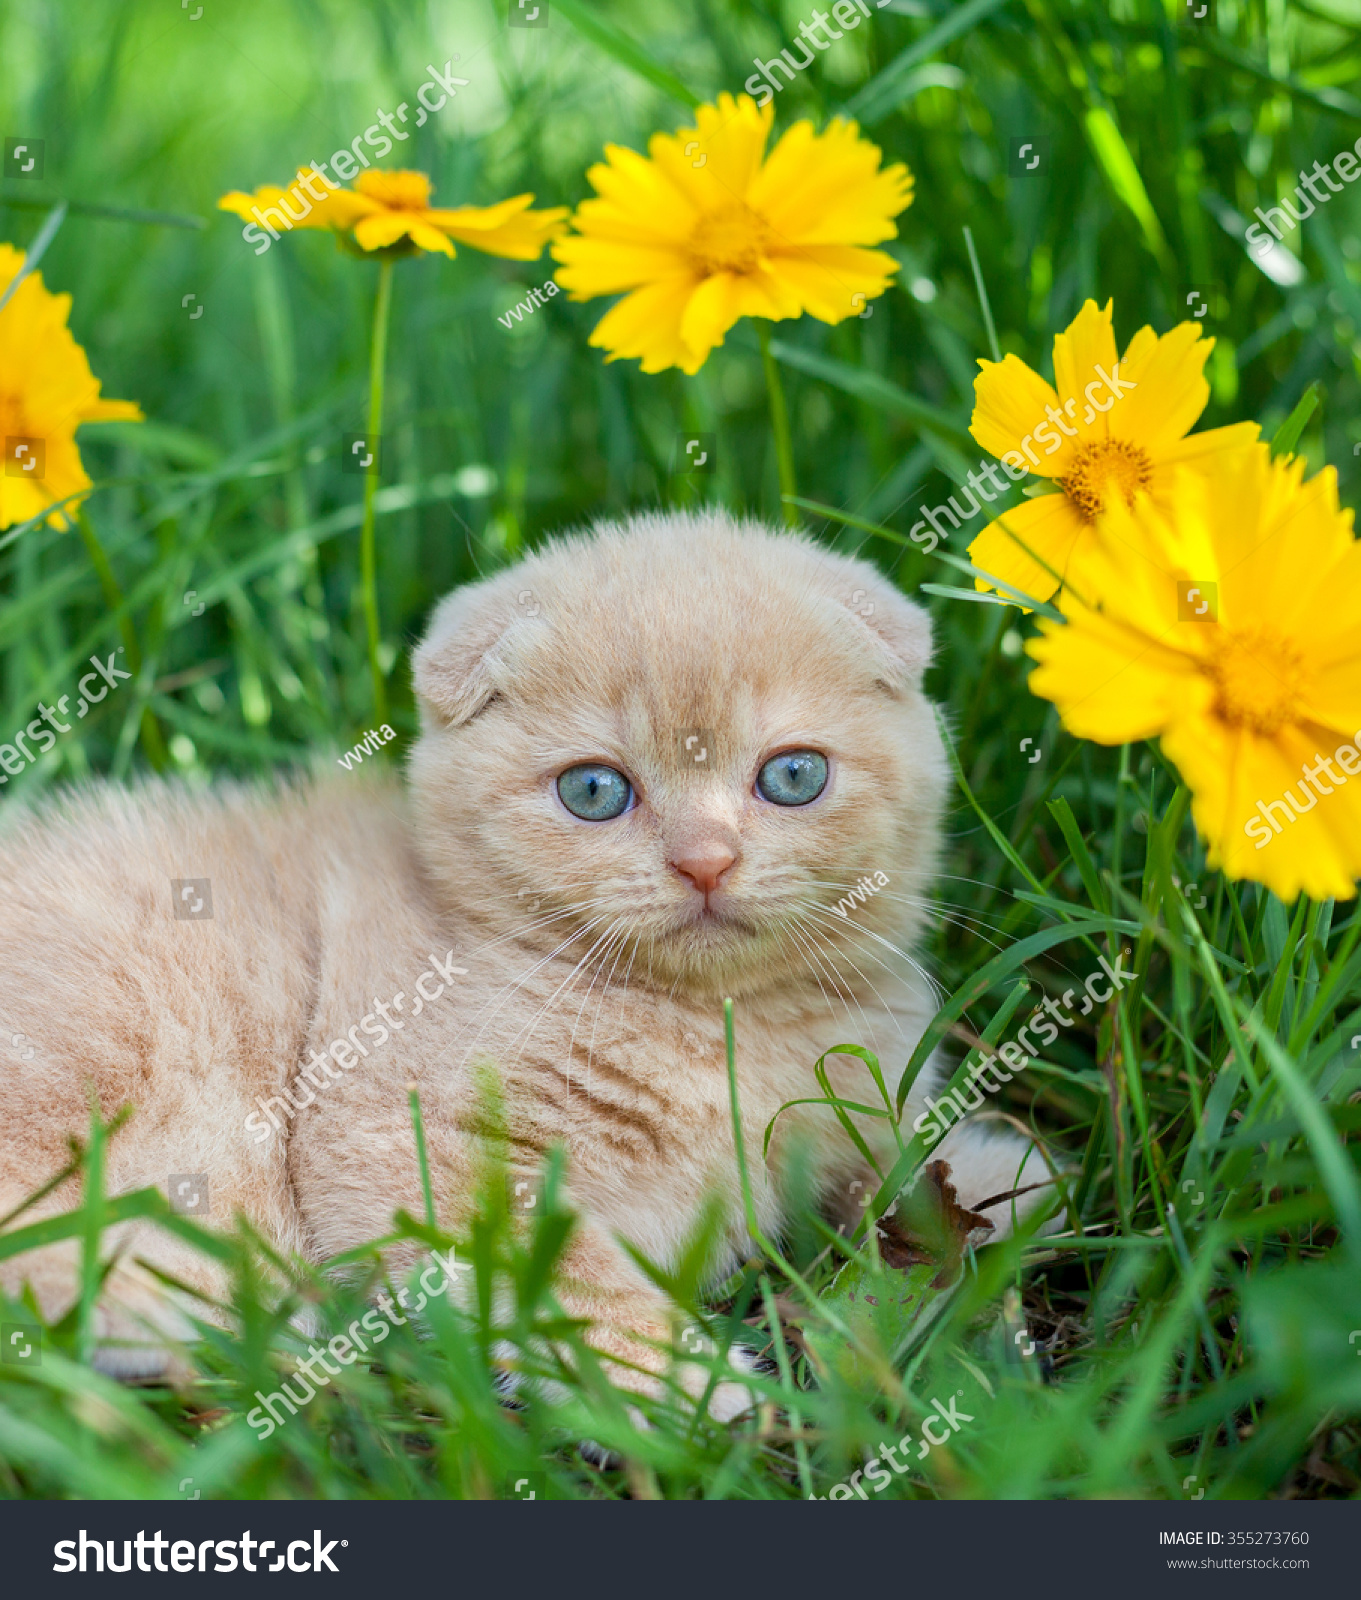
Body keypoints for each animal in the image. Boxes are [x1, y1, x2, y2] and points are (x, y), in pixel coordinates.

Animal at [0, 508, 1049, 1414]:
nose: (704, 860)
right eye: (593, 791)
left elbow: (908, 1170)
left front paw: (1004, 1177)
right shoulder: (403, 1144)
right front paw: (684, 1384)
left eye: (793, 776)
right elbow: (559, 1278)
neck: (717, 1024)